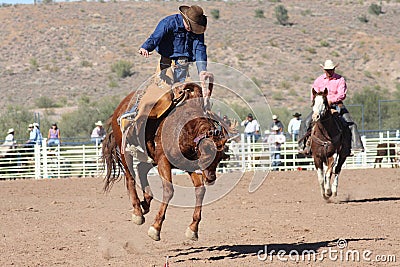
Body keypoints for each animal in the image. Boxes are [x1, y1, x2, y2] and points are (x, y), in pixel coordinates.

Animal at [101, 80, 230, 242]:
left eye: (220, 159)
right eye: (208, 156)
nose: (211, 178)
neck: (184, 128)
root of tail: (119, 108)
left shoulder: (187, 165)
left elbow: (200, 190)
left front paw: (193, 229)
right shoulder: (163, 161)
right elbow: (169, 191)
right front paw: (155, 228)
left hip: (151, 158)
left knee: (141, 169)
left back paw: (145, 203)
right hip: (125, 149)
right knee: (130, 177)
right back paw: (137, 212)